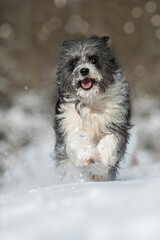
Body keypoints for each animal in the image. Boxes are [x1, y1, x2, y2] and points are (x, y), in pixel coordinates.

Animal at [54, 35, 131, 181]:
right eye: (74, 62)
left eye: (93, 59)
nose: (84, 70)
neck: (91, 100)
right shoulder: (69, 123)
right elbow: (76, 139)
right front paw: (87, 156)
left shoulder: (116, 124)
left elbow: (109, 142)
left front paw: (98, 168)